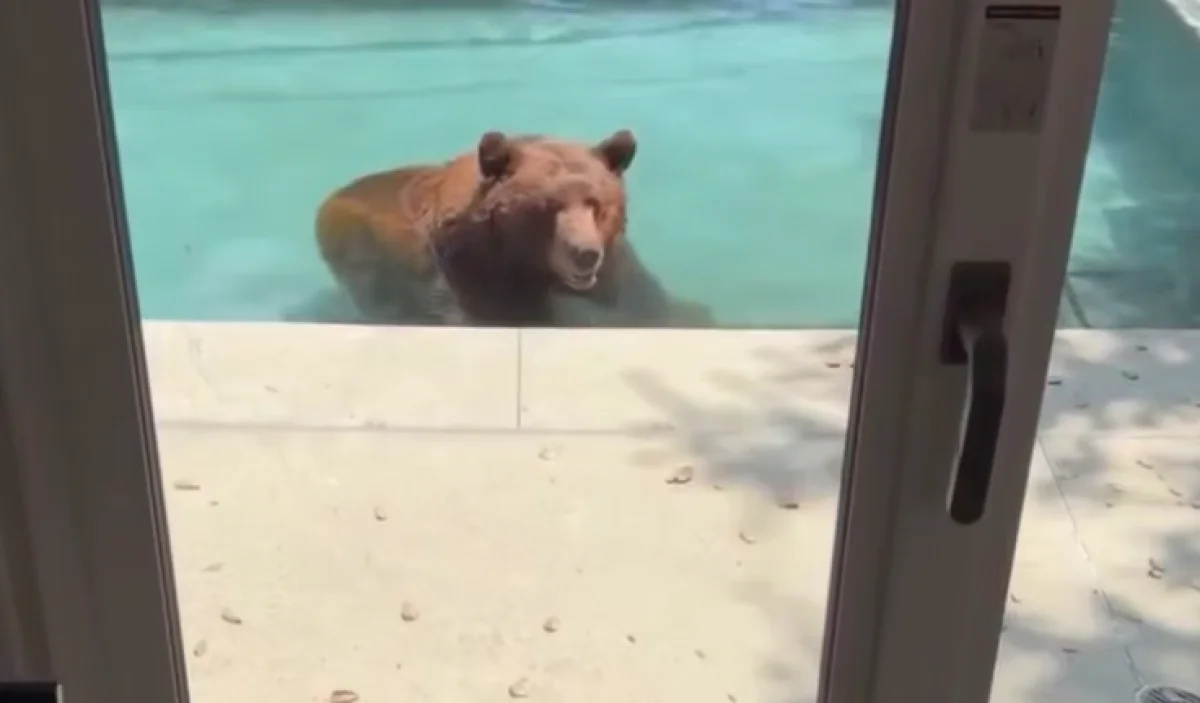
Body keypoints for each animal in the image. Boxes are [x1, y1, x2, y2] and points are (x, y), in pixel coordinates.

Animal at [314, 130, 713, 327]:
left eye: (596, 204)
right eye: (548, 207)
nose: (585, 254)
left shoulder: (618, 273)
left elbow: (654, 306)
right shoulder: (474, 277)